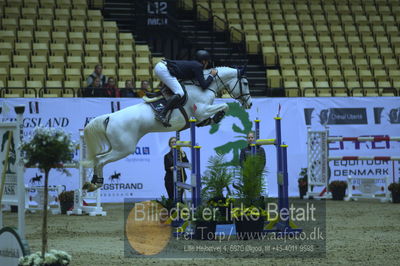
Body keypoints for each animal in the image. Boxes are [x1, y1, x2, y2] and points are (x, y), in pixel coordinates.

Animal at [82, 67, 252, 190]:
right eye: (245, 83)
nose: (249, 103)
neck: (204, 87)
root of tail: (109, 118)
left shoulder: (201, 114)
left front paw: (212, 120)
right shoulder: (202, 110)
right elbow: (224, 106)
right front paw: (218, 116)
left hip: (116, 147)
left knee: (97, 158)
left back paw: (91, 183)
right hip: (124, 149)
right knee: (101, 160)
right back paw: (96, 183)